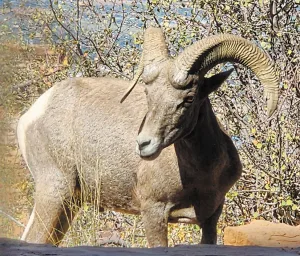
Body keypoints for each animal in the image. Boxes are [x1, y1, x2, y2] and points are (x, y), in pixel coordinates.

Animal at [17, 27, 278, 247]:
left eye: (189, 99)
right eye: (148, 94)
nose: (144, 143)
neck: (201, 175)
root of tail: (31, 114)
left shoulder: (211, 218)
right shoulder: (154, 212)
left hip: (69, 204)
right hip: (54, 193)